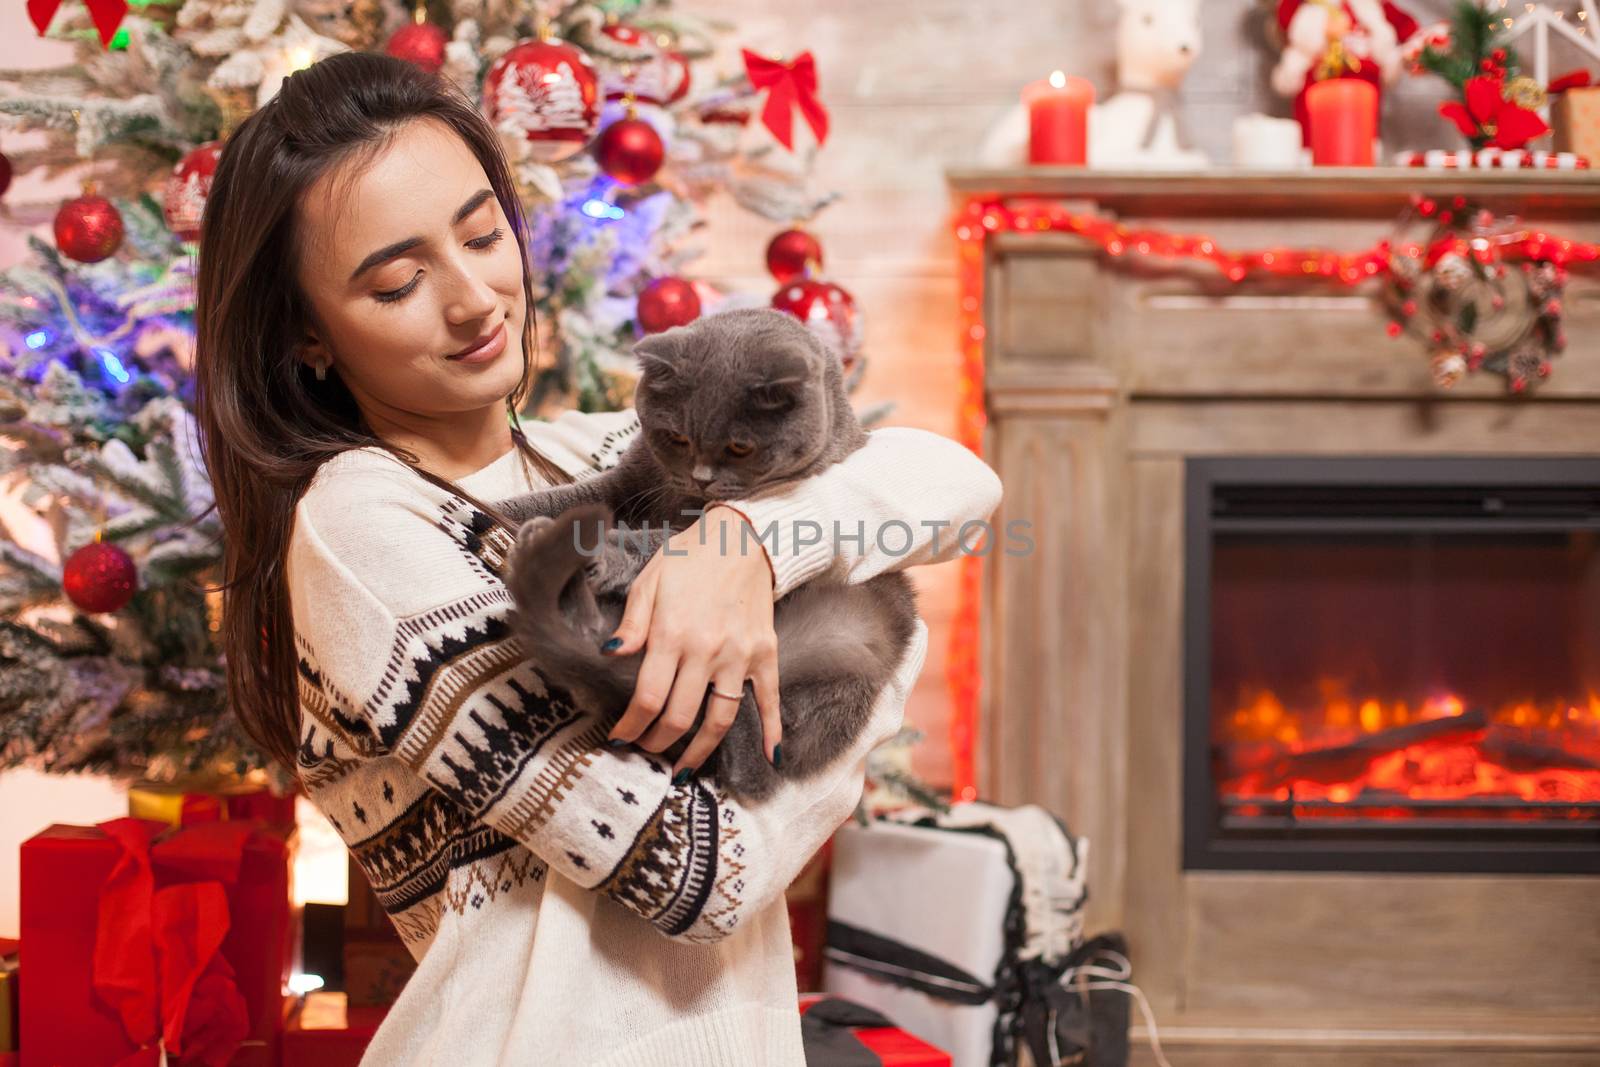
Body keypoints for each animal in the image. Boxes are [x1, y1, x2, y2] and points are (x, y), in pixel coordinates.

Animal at [492, 303, 921, 796]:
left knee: (761, 765)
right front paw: (494, 509)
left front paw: (606, 553)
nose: (701, 478)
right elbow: (564, 498)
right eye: (677, 437)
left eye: (740, 447)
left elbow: (660, 541)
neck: (679, 497)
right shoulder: (626, 481)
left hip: (857, 637)